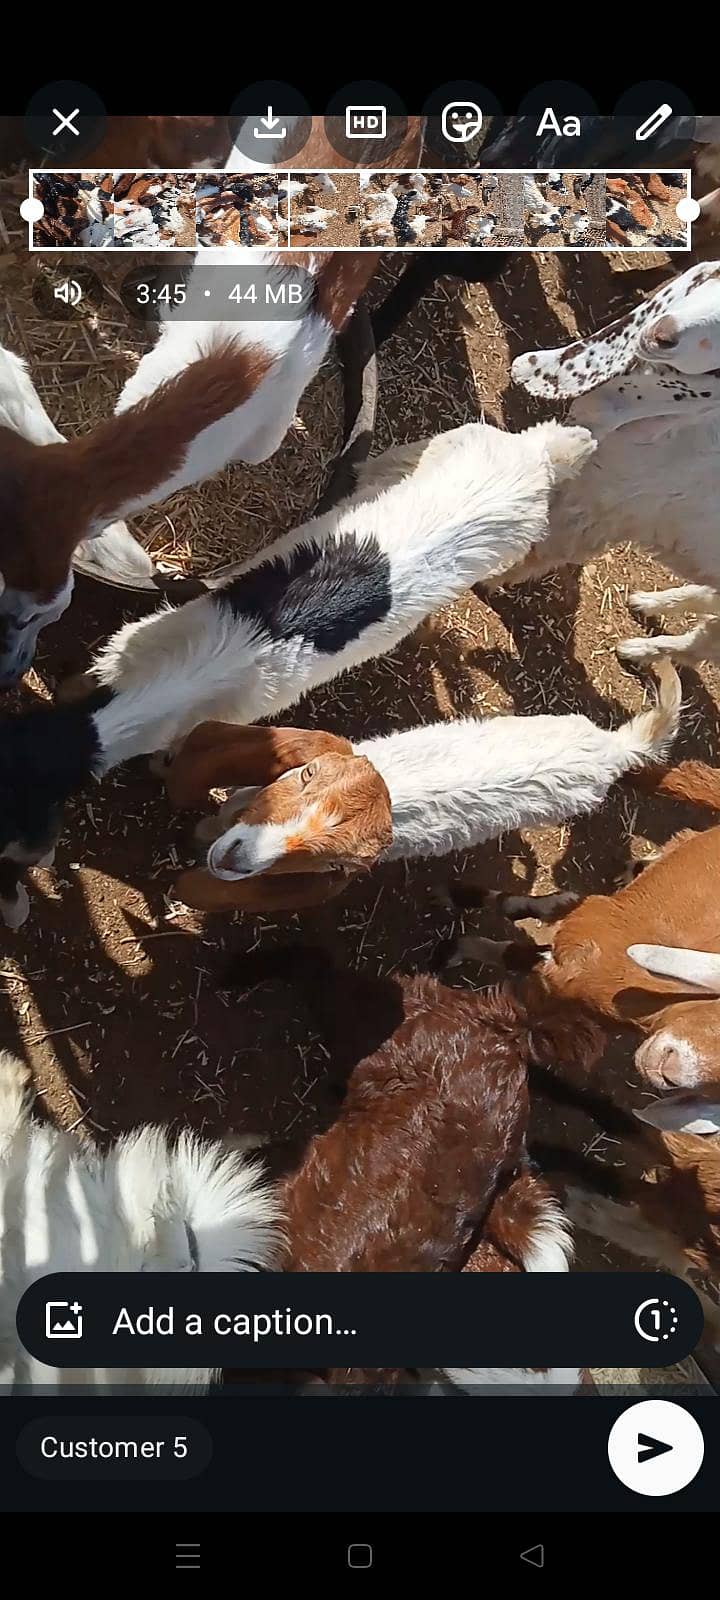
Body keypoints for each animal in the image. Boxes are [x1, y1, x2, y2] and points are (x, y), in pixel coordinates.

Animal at [508, 259, 720, 666]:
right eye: (711, 277)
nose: (663, 335)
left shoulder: (602, 505)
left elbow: (541, 543)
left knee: (702, 642)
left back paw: (640, 650)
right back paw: (647, 603)